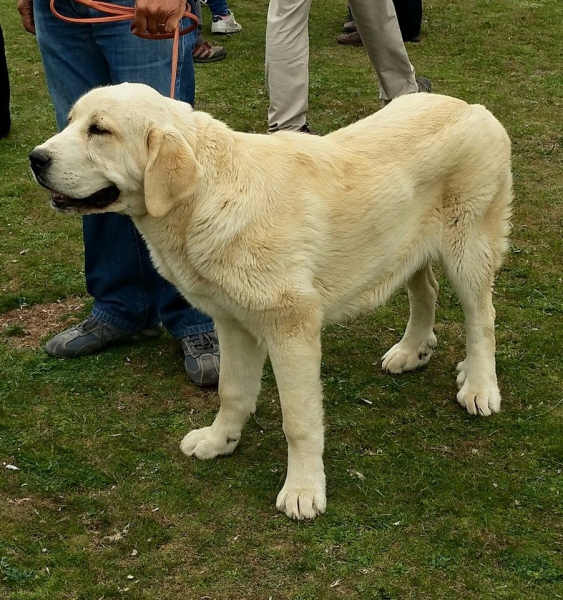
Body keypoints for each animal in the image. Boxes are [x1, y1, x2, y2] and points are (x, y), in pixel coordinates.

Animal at [30, 84, 516, 520]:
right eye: (70, 121)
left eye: (100, 130)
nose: (36, 158)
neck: (205, 198)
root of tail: (471, 105)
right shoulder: (231, 322)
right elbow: (231, 390)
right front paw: (219, 441)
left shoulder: (291, 328)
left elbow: (298, 421)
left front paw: (303, 490)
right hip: (404, 247)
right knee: (426, 291)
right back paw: (413, 350)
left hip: (468, 250)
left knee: (482, 319)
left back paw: (479, 385)